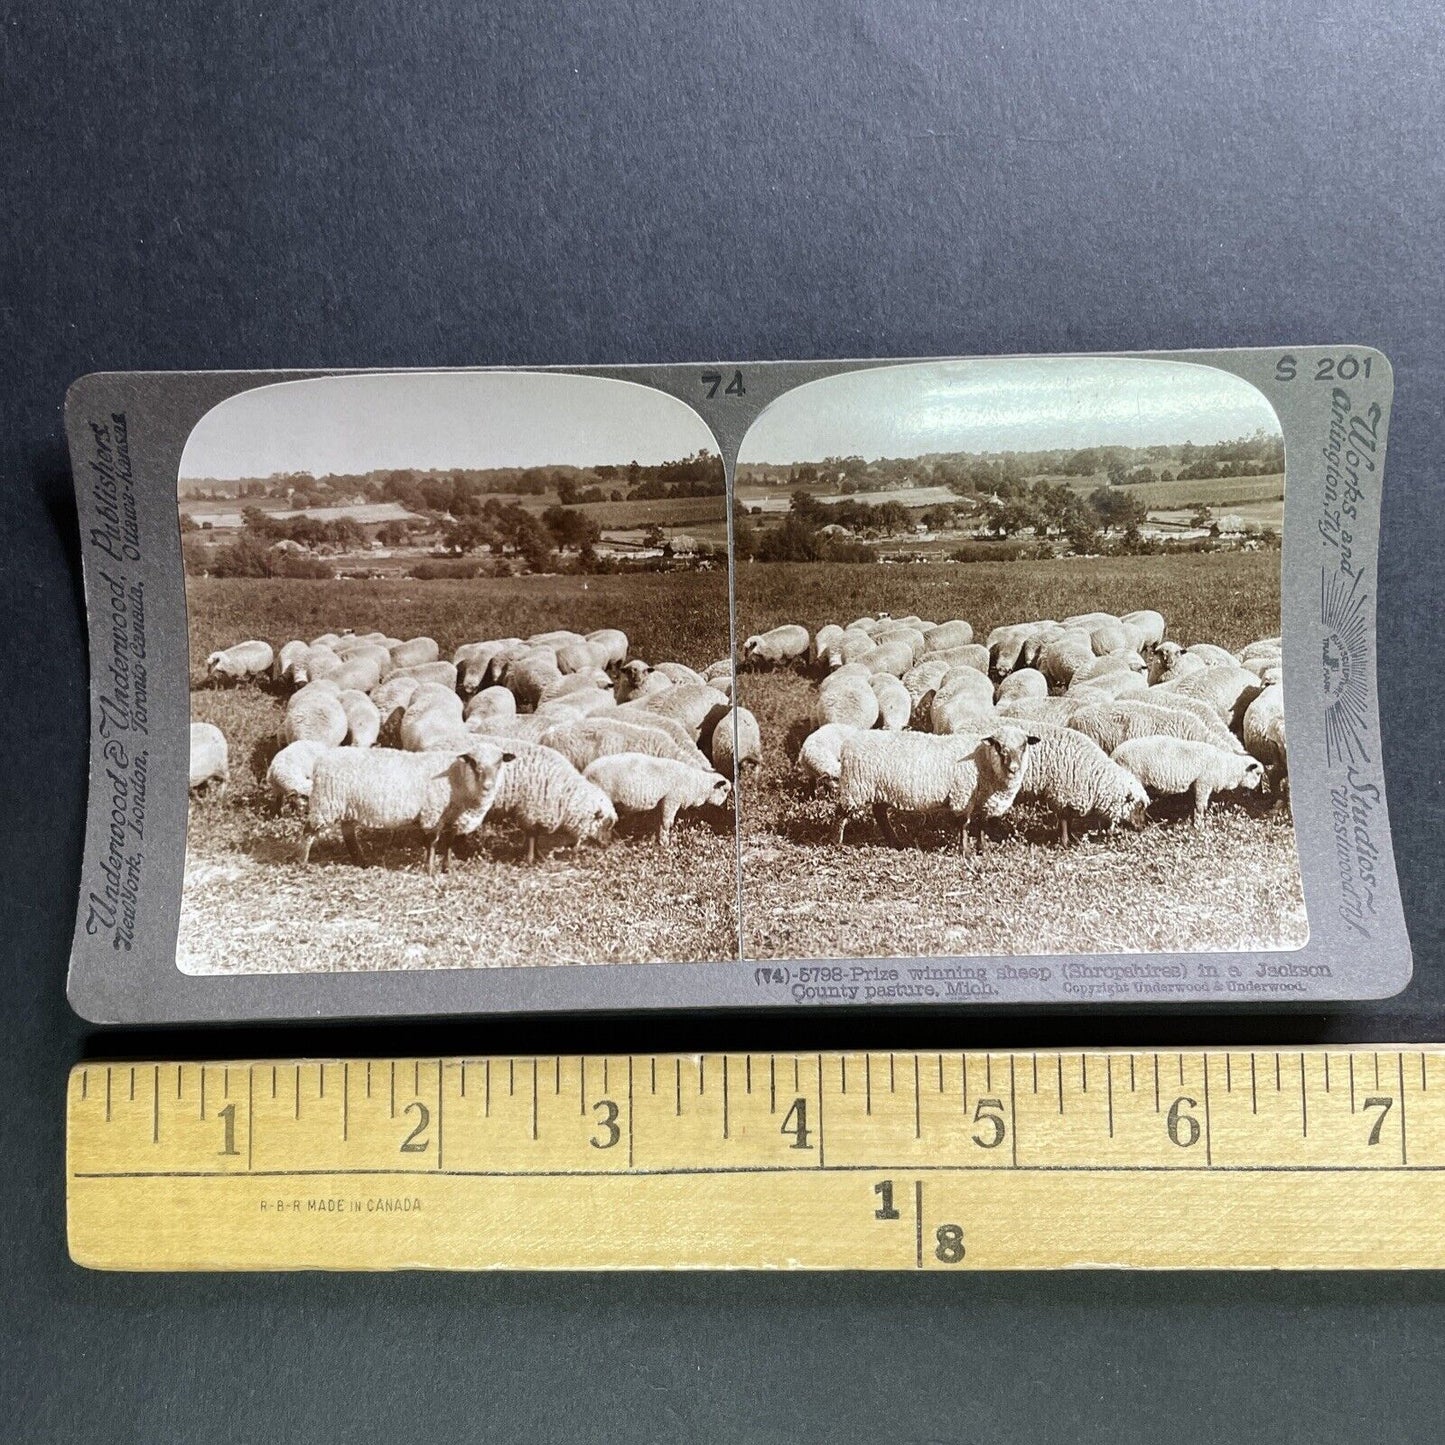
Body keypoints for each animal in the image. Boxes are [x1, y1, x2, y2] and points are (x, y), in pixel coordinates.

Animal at [299, 739, 514, 872]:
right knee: (308, 831)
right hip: (326, 803)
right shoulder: (432, 813)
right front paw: (430, 870)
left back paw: (361, 862)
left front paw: (447, 869)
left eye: (499, 762)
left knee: (348, 834)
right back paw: (302, 861)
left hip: (347, 806)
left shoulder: (454, 819)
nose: (488, 786)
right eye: (473, 762)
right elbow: (432, 842)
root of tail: (322, 760)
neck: (457, 779)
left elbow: (449, 843)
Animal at [580, 757, 728, 843]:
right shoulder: (671, 799)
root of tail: (585, 772)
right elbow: (667, 823)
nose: (723, 808)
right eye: (726, 791)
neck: (696, 784)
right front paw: (665, 843)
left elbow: (659, 822)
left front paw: (655, 839)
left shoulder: (661, 802)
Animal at [1103, 745, 1265, 826]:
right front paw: (1199, 826)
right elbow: (1200, 807)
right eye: (1258, 774)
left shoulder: (1196, 785)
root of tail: (1113, 755)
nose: (1257, 791)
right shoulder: (1203, 783)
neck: (1227, 767)